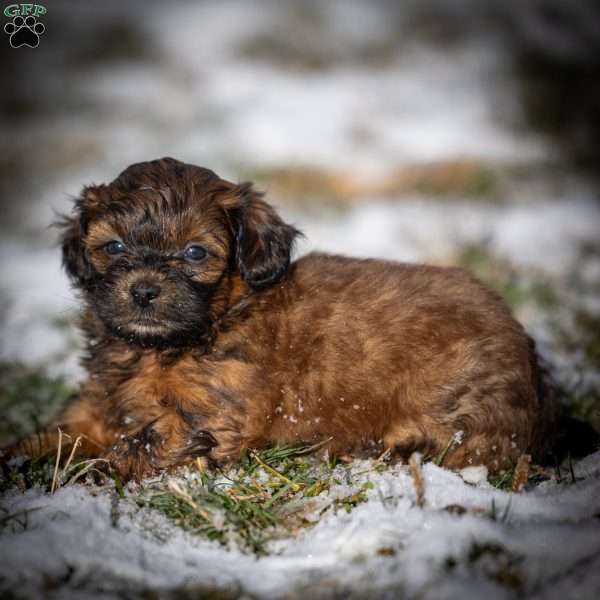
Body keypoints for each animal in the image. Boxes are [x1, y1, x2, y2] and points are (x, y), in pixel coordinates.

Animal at [9, 158, 560, 478]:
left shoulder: (209, 419)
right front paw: (19, 455)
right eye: (115, 248)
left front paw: (87, 472)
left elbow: (140, 445)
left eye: (194, 253)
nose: (143, 290)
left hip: (465, 412)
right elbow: (64, 430)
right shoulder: (101, 402)